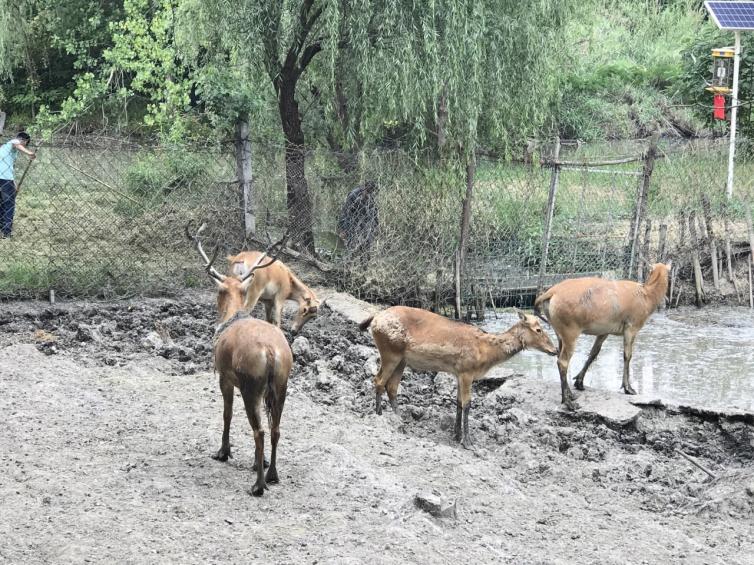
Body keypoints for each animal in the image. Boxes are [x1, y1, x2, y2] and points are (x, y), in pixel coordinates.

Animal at [187, 223, 292, 496]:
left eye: (218, 290)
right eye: (227, 289)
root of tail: (270, 352)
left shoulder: (224, 376)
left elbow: (227, 413)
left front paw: (223, 451)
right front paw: (258, 462)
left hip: (250, 384)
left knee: (260, 430)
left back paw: (258, 485)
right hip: (281, 384)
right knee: (276, 428)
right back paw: (272, 474)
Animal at [356, 306, 556, 448]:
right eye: (538, 329)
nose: (554, 350)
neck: (485, 353)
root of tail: (374, 319)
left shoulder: (459, 373)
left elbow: (459, 402)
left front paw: (456, 435)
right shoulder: (467, 371)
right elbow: (467, 404)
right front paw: (468, 441)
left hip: (402, 359)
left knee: (392, 387)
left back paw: (399, 421)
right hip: (390, 351)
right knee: (379, 381)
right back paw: (380, 417)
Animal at [536, 260, 668, 410]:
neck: (646, 294)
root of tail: (552, 292)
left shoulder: (604, 332)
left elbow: (593, 353)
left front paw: (579, 382)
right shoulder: (631, 328)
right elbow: (627, 356)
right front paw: (628, 388)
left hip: (559, 332)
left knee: (559, 356)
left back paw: (570, 394)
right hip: (570, 332)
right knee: (563, 362)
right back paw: (568, 401)